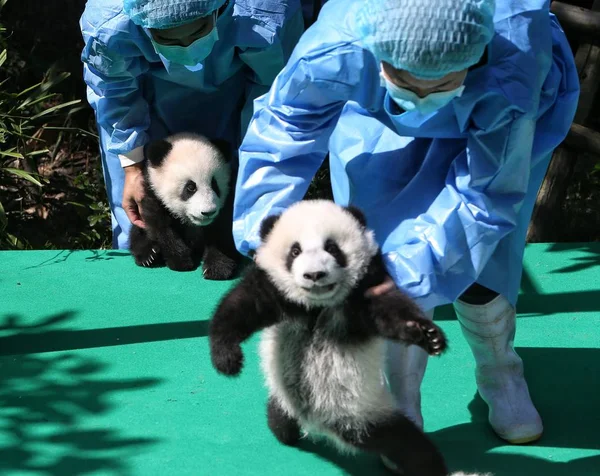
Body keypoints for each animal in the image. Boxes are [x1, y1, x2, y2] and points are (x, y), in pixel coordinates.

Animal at [128, 132, 241, 278]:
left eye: (214, 185)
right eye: (191, 187)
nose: (208, 212)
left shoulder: (228, 201)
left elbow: (222, 230)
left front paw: (217, 268)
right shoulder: (153, 194)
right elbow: (162, 228)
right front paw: (181, 261)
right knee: (137, 233)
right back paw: (149, 255)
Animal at [209, 201, 452, 476]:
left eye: (332, 248)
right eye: (295, 251)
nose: (315, 274)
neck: (317, 307)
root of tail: (319, 424)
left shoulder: (365, 290)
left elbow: (390, 313)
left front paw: (427, 335)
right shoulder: (275, 290)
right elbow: (241, 307)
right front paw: (227, 359)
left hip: (366, 413)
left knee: (409, 445)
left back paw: (431, 465)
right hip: (290, 392)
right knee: (282, 414)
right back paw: (282, 426)